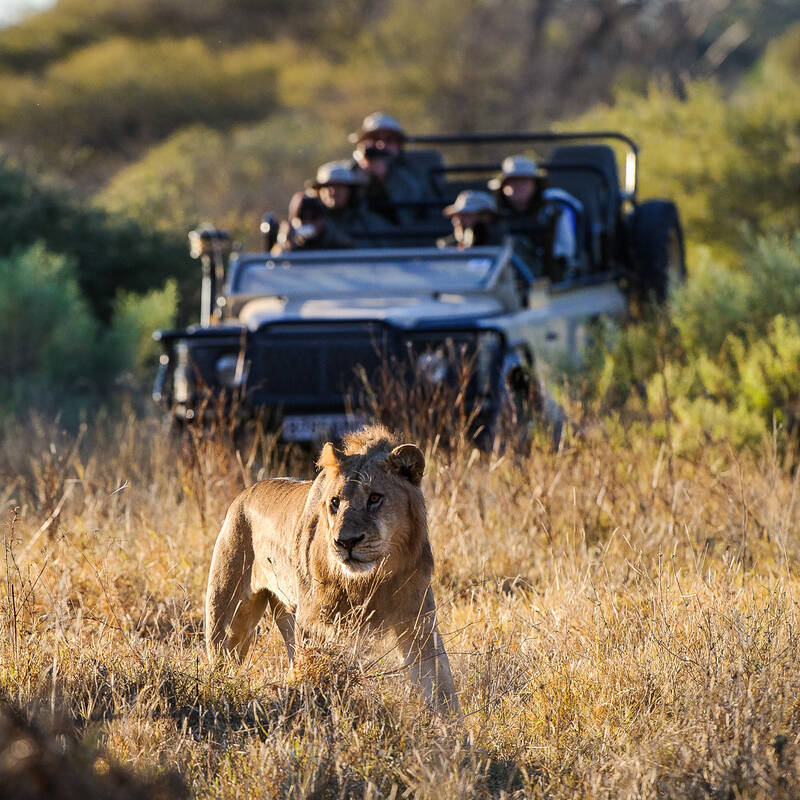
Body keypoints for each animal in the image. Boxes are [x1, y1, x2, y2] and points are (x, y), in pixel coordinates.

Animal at [203, 424, 460, 712]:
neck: (371, 580)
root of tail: (245, 492)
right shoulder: (315, 626)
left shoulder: (419, 624)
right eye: (335, 502)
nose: (346, 542)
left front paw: (452, 724)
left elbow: (441, 686)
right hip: (229, 620)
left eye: (375, 498)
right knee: (223, 658)